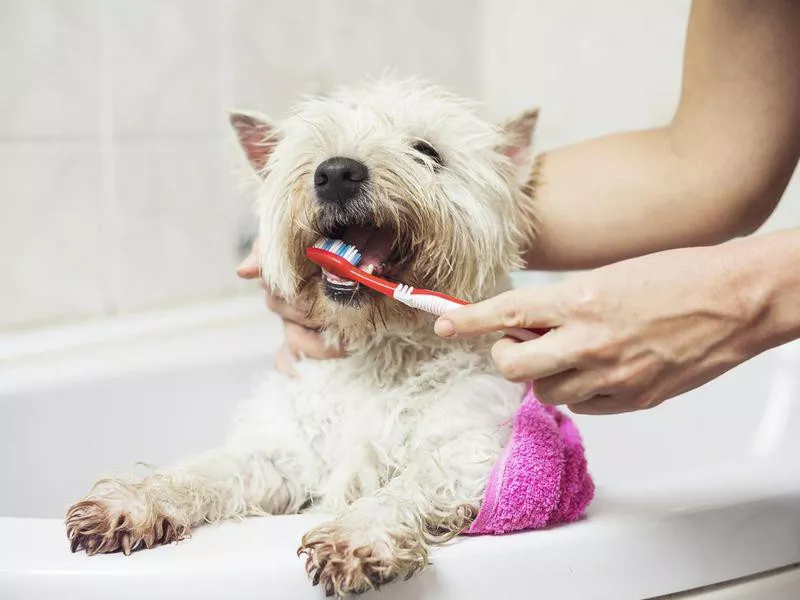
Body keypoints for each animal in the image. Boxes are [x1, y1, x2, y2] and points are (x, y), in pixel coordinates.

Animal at [65, 78, 540, 596]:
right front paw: (131, 501)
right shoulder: (283, 454)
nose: (336, 173)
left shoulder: (467, 450)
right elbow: (208, 470)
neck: (380, 350)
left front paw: (358, 536)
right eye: (314, 149)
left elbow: (408, 484)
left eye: (427, 151)